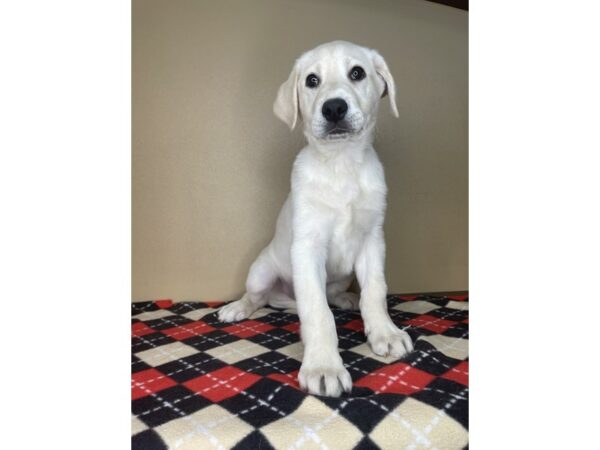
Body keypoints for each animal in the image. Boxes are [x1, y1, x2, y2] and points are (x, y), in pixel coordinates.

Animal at [219, 40, 412, 396]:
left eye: (357, 73)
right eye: (312, 80)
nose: (334, 108)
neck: (341, 164)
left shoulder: (372, 241)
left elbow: (375, 291)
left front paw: (385, 332)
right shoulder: (307, 247)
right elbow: (318, 312)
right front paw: (323, 365)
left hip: (340, 275)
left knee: (332, 293)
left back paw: (347, 298)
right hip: (260, 273)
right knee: (258, 298)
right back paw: (237, 307)